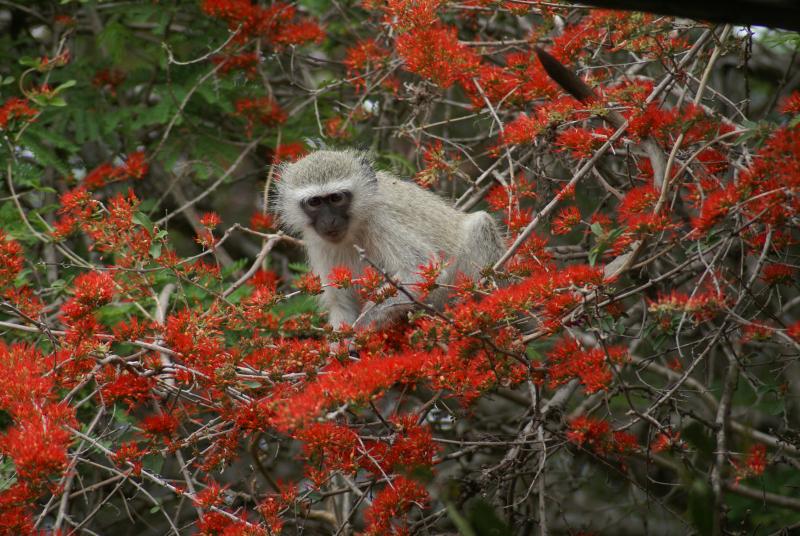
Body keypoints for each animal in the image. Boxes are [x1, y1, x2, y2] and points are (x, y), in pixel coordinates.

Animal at [275, 149, 505, 331]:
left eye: (336, 198)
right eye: (314, 202)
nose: (329, 220)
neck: (355, 229)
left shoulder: (381, 219)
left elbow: (422, 268)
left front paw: (360, 328)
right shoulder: (319, 244)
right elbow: (341, 302)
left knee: (480, 224)